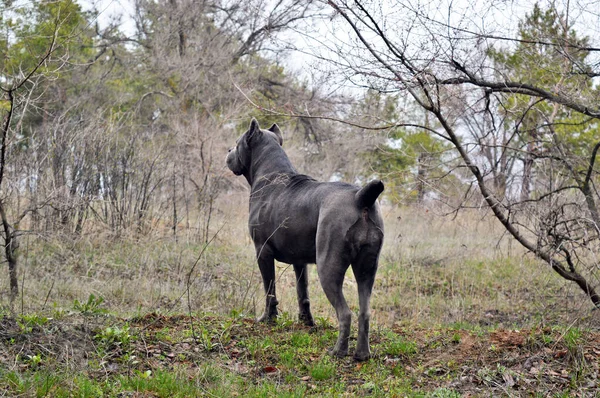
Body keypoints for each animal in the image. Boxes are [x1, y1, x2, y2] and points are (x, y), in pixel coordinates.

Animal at [225, 118, 384, 360]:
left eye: (237, 143)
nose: (228, 151)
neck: (270, 173)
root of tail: (360, 197)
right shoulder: (299, 261)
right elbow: (303, 292)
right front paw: (306, 322)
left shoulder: (262, 250)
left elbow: (269, 289)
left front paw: (267, 319)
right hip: (367, 268)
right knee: (364, 312)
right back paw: (362, 354)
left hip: (329, 266)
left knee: (345, 313)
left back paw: (338, 351)